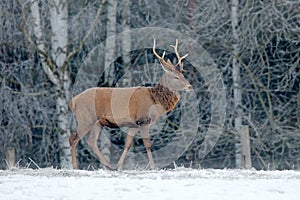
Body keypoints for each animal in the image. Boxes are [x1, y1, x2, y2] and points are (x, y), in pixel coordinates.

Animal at [69, 39, 191, 170]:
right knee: (73, 138)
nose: (189, 86)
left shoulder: (134, 124)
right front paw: (154, 167)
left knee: (91, 142)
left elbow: (128, 143)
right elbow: (147, 144)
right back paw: (75, 166)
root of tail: (73, 101)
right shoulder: (143, 120)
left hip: (97, 122)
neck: (155, 101)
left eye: (183, 75)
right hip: (85, 118)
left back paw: (109, 165)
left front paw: (119, 165)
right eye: (176, 77)